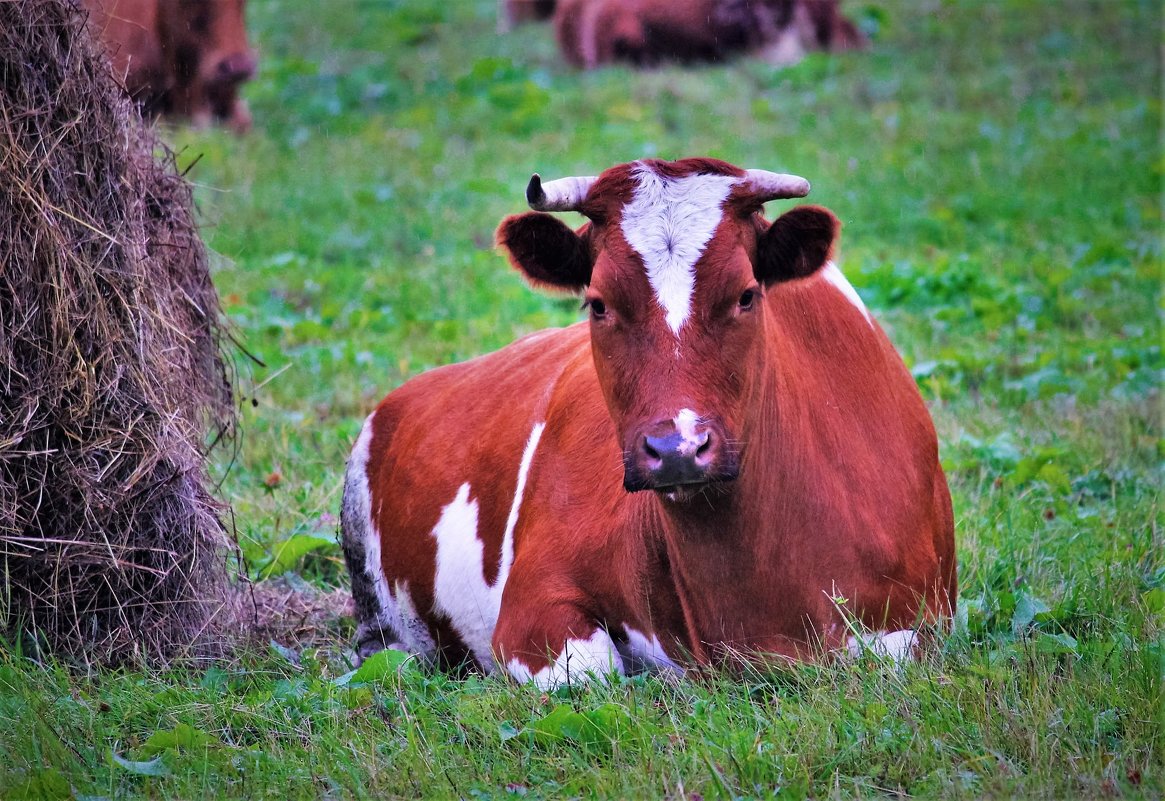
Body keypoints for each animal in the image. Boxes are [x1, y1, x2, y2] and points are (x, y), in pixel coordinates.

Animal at [340, 156, 959, 689]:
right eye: (598, 303)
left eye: (746, 295)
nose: (677, 448)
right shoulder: (533, 601)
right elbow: (589, 671)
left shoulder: (923, 619)